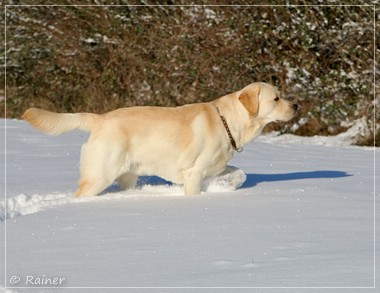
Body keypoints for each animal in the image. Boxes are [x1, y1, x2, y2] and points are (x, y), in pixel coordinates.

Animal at [23, 82, 296, 196]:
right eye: (276, 98)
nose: (296, 105)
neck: (227, 121)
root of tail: (99, 119)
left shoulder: (214, 166)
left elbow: (240, 172)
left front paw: (228, 186)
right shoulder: (193, 174)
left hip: (127, 176)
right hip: (100, 175)